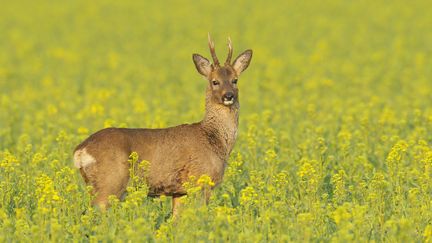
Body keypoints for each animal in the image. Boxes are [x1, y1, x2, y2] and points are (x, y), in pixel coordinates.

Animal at [72, 33, 251, 215]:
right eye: (215, 81)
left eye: (235, 80)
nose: (228, 95)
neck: (214, 138)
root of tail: (80, 151)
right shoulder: (201, 181)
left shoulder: (179, 192)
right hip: (110, 183)